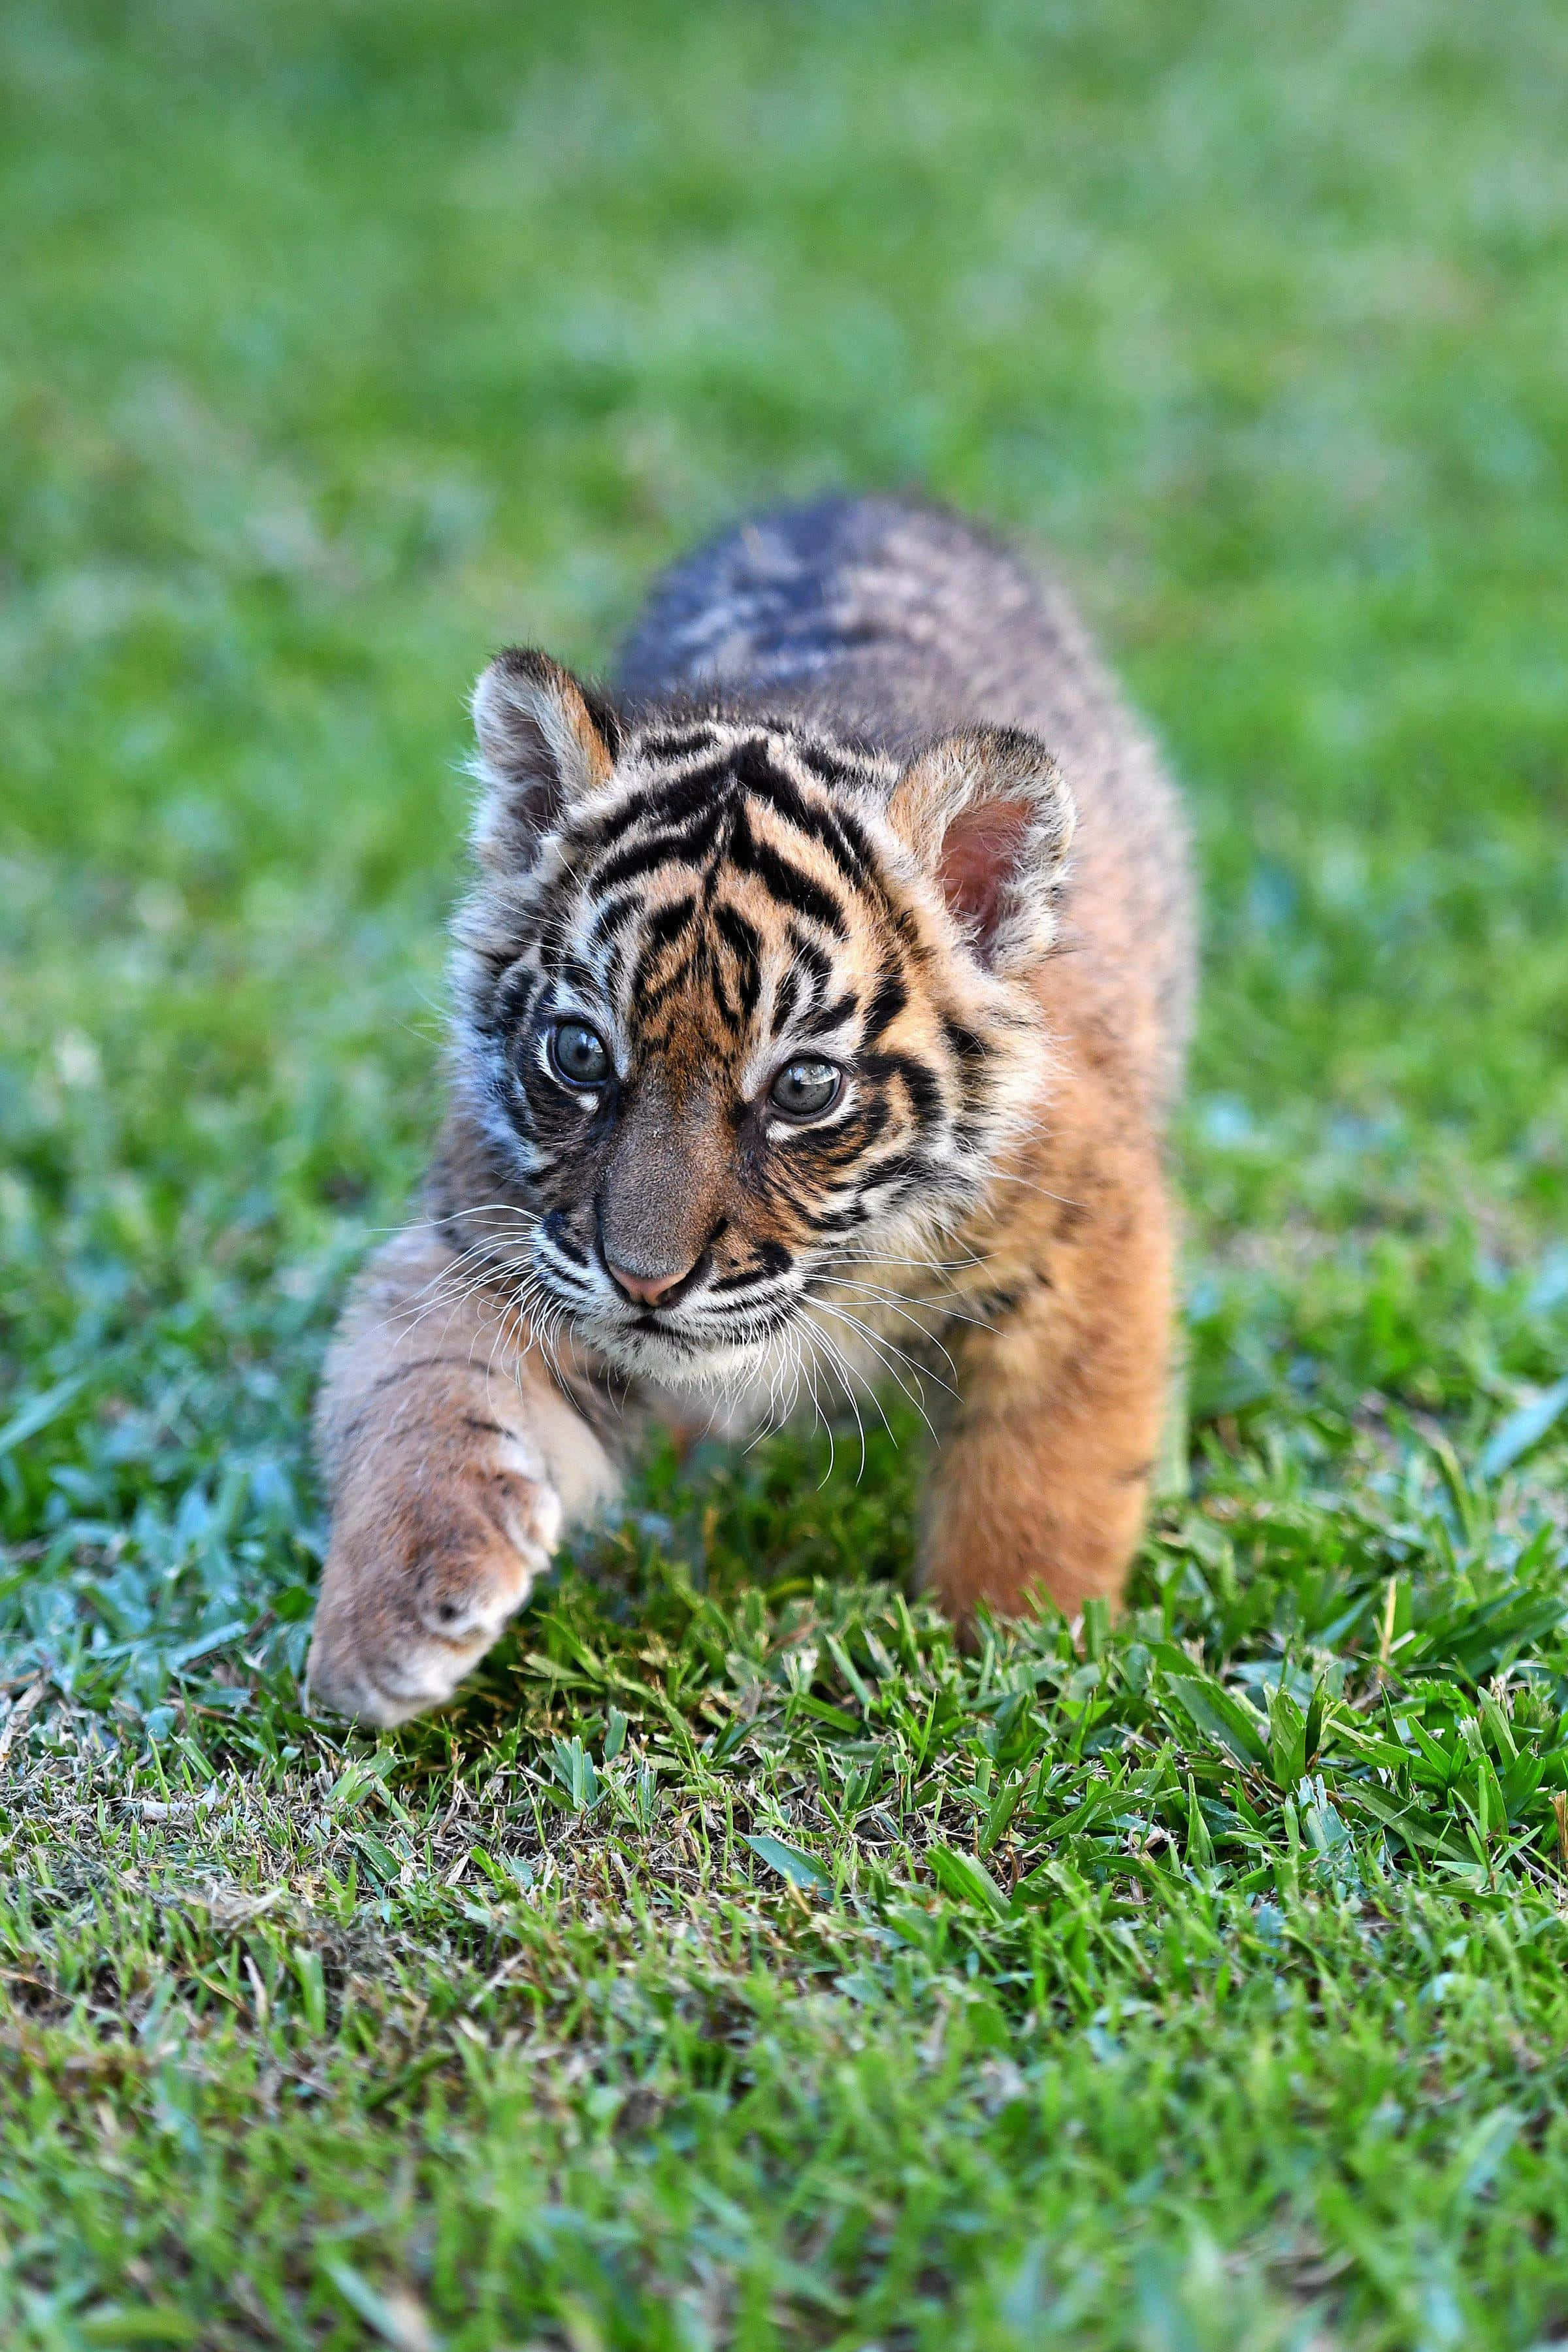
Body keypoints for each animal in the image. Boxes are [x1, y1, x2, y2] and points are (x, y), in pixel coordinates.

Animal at [306, 496, 1195, 1724]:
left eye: (804, 1089)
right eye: (581, 1054)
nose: (644, 1283)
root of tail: (864, 495)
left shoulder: (1084, 1243)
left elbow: (1046, 1472)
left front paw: (1016, 1657)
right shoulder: (482, 1236)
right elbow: (416, 1388)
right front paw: (387, 1625)